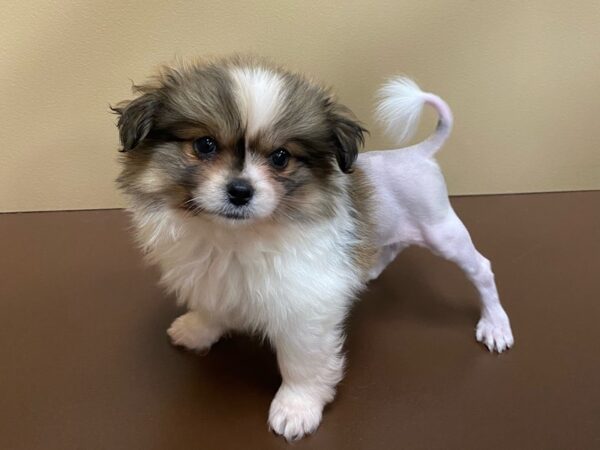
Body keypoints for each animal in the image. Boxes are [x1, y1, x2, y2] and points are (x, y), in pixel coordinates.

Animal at [112, 55, 510, 440]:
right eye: (204, 145)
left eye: (280, 157)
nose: (240, 191)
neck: (236, 237)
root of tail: (417, 153)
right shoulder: (213, 279)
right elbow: (213, 308)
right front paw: (199, 330)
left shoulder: (306, 309)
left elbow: (301, 364)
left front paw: (297, 407)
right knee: (393, 247)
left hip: (442, 231)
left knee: (482, 269)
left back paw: (495, 325)